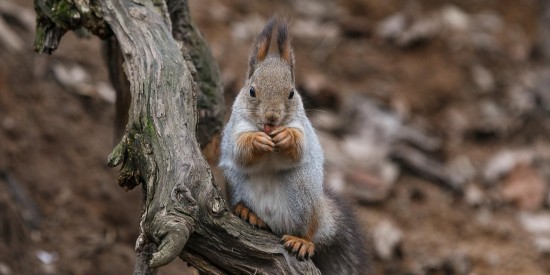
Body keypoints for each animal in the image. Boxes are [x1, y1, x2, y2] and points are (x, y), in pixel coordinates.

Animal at [220, 17, 370, 275]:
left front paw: (286, 137)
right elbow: (240, 150)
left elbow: (299, 147)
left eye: (291, 93)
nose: (271, 117)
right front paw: (256, 141)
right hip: (237, 182)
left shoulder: (304, 130)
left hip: (302, 191)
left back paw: (302, 240)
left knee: (307, 230)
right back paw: (248, 212)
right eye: (252, 91)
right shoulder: (234, 130)